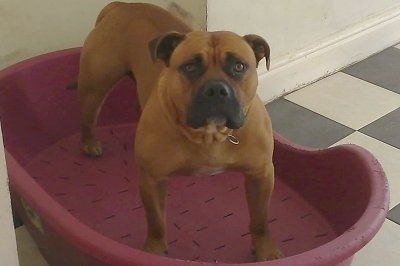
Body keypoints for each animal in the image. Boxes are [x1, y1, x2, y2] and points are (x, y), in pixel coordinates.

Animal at [74, 1, 282, 260]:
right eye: (190, 67)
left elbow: (260, 220)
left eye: (238, 66)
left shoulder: (261, 175)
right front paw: (154, 250)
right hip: (96, 86)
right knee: (88, 116)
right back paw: (89, 142)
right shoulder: (152, 179)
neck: (209, 134)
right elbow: (156, 221)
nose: (216, 89)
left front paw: (266, 251)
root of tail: (123, 6)